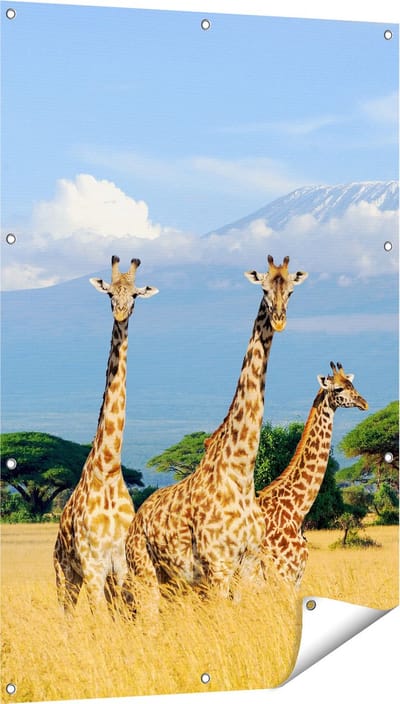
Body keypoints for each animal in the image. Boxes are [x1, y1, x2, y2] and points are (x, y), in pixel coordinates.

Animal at [53, 256, 158, 613]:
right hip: (64, 574)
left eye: (136, 295)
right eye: (110, 293)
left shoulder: (121, 565)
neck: (109, 467)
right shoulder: (93, 565)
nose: (121, 312)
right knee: (67, 615)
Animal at [123, 255, 308, 610]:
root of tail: (135, 521)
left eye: (291, 291)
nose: (279, 320)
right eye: (264, 289)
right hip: (145, 573)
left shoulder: (248, 563)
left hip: (176, 582)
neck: (240, 471)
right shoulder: (218, 565)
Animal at [257, 361, 368, 588]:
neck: (296, 511)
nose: (364, 403)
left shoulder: (295, 577)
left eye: (352, 384)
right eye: (338, 389)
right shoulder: (284, 574)